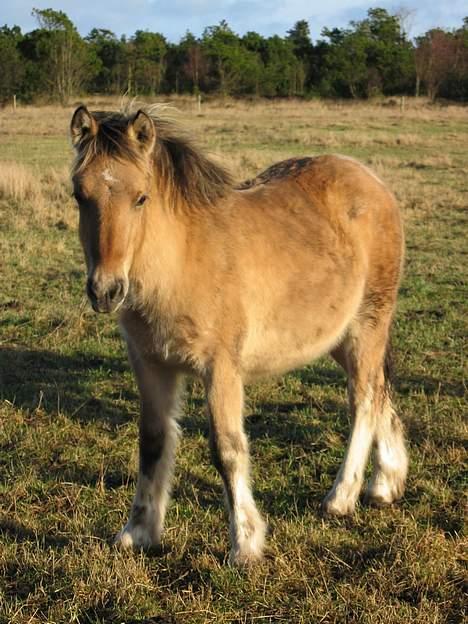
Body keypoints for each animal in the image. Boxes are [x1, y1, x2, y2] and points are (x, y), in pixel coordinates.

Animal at [68, 103, 406, 564]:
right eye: (79, 195)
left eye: (141, 197)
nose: (106, 290)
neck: (182, 261)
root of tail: (374, 183)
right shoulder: (151, 364)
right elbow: (153, 441)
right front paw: (137, 533)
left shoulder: (221, 368)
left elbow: (227, 449)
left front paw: (244, 545)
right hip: (340, 336)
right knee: (380, 392)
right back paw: (385, 483)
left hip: (367, 327)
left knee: (365, 401)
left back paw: (341, 498)